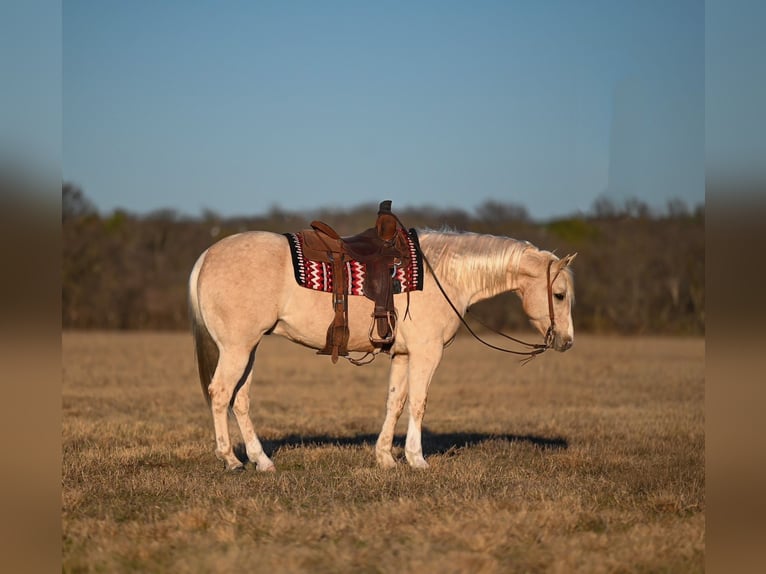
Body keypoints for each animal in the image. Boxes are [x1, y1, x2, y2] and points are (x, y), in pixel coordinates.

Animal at [189, 229, 576, 471]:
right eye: (559, 295)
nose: (567, 341)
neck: (442, 275)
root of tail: (207, 255)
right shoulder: (426, 353)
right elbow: (418, 402)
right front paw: (416, 458)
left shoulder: (403, 355)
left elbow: (396, 402)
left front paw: (385, 457)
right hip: (237, 348)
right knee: (221, 393)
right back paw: (231, 459)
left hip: (248, 348)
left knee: (240, 400)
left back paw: (262, 460)